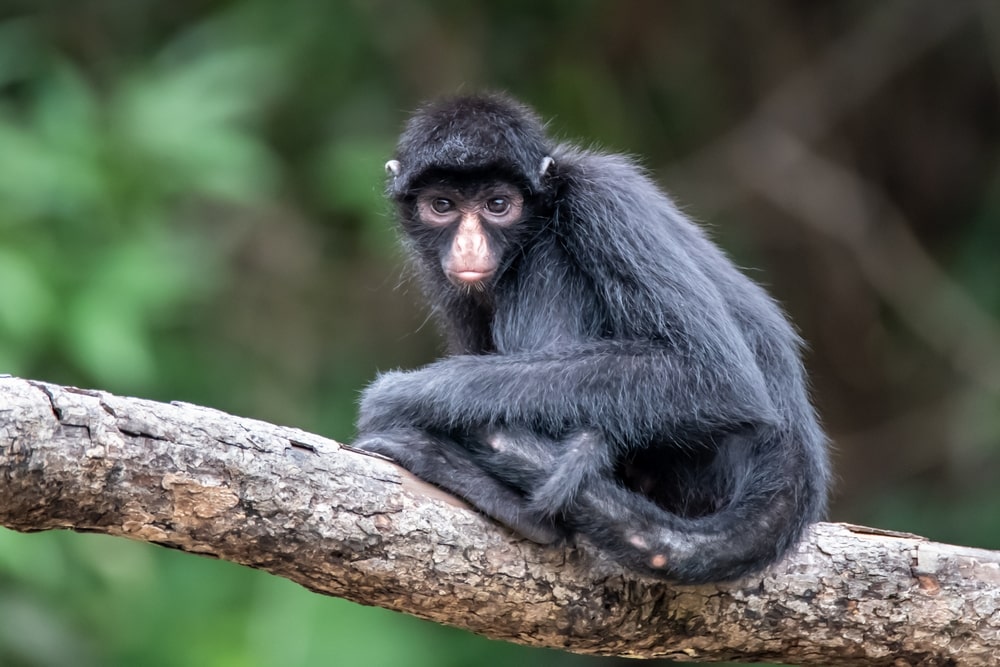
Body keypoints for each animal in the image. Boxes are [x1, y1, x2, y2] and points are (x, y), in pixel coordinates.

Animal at [356, 94, 832, 584]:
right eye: (443, 205)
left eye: (497, 204)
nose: (469, 247)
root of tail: (796, 451)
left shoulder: (604, 196)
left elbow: (718, 378)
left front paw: (405, 397)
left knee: (547, 254)